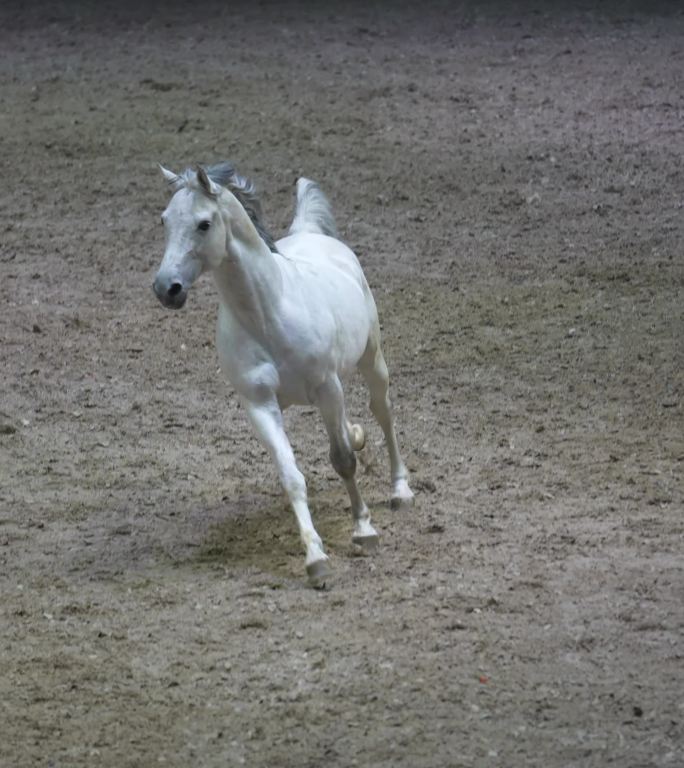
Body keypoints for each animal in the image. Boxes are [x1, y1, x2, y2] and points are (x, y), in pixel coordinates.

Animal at [153, 160, 414, 584]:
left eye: (204, 224)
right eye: (164, 220)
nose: (166, 288)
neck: (267, 315)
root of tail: (309, 232)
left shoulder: (326, 387)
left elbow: (343, 460)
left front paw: (363, 530)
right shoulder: (260, 405)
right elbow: (292, 476)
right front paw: (315, 557)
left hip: (370, 361)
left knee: (383, 412)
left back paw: (400, 491)